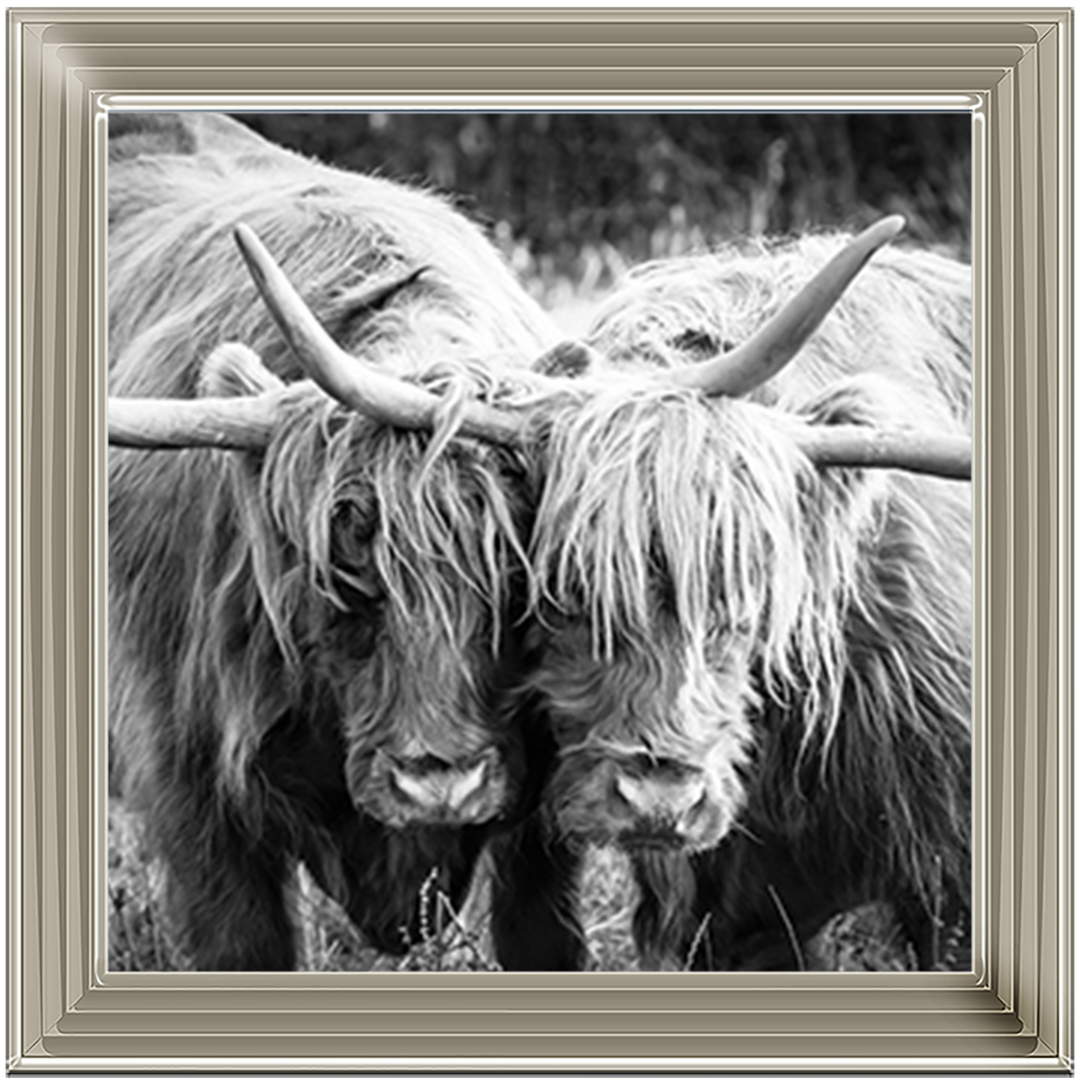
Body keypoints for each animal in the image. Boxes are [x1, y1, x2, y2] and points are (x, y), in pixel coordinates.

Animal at [107, 112, 579, 971]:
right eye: (344, 573)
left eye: (516, 578)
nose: (440, 785)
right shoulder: (190, 789)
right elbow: (242, 946)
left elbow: (542, 934)